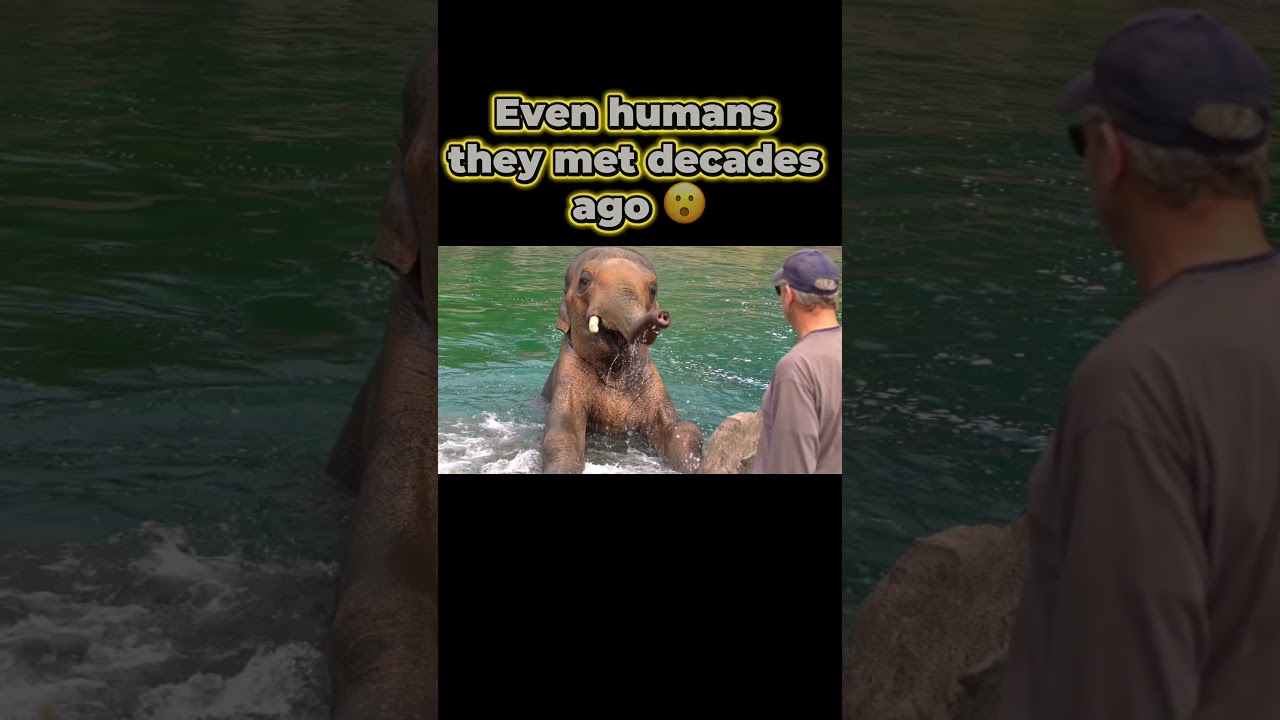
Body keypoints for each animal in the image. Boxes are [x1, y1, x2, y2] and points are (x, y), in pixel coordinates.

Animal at [540, 246, 704, 474]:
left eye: (653, 289)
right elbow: (561, 433)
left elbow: (682, 428)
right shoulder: (567, 375)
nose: (662, 315)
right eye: (584, 281)